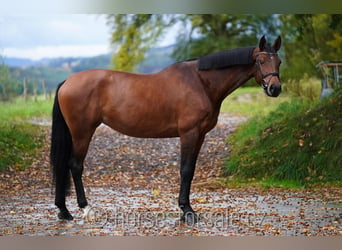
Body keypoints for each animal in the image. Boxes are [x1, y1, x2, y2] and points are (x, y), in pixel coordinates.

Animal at [50, 34, 280, 223]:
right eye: (260, 61)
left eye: (278, 61)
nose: (275, 88)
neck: (200, 82)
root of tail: (67, 81)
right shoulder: (189, 133)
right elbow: (185, 170)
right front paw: (187, 211)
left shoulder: (200, 135)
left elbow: (191, 170)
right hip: (82, 132)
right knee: (75, 166)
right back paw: (86, 209)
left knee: (63, 165)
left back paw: (64, 210)